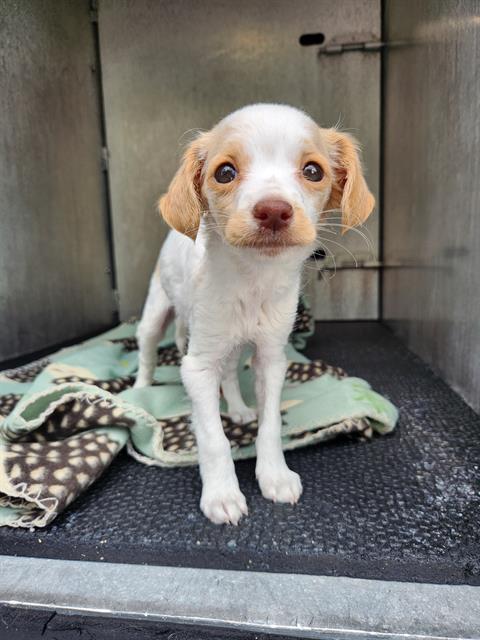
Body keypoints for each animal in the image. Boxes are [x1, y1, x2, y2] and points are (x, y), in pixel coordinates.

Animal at [135, 104, 374, 524]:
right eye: (225, 173)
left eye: (313, 171)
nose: (274, 211)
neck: (252, 280)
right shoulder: (197, 366)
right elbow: (212, 437)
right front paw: (222, 494)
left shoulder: (270, 358)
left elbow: (271, 425)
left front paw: (274, 474)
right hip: (157, 312)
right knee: (146, 350)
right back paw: (141, 390)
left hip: (234, 346)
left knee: (230, 373)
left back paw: (239, 408)